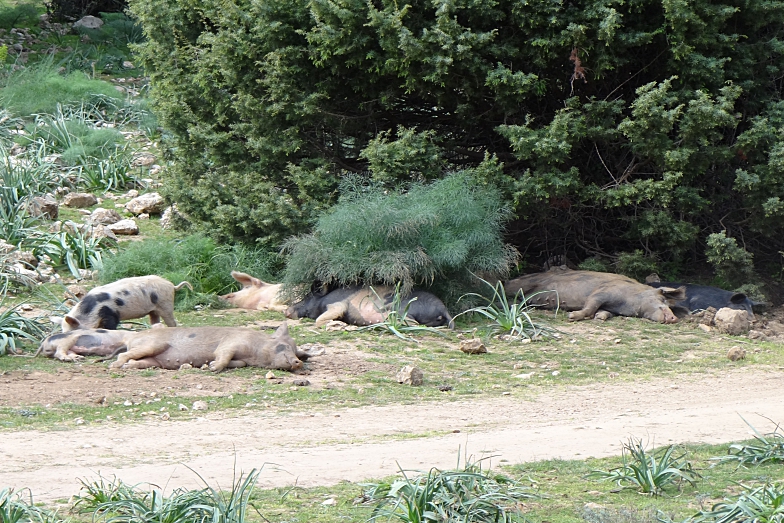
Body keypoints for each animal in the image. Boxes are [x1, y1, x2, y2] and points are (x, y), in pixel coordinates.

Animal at [56, 276, 193, 334]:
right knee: (155, 320)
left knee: (172, 322)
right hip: (153, 310)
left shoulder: (111, 314)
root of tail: (172, 285)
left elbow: (111, 326)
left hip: (166, 304)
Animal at [506, 270, 684, 324]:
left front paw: (600, 317)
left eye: (670, 305)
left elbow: (604, 312)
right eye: (663, 300)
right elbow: (589, 307)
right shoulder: (601, 292)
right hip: (520, 285)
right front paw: (572, 316)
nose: (674, 318)